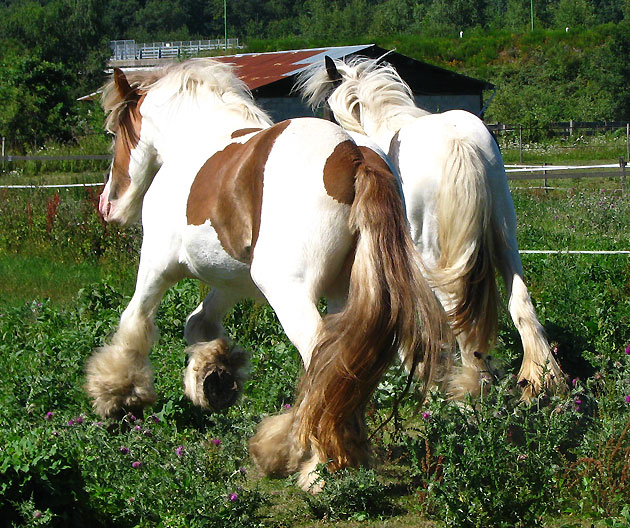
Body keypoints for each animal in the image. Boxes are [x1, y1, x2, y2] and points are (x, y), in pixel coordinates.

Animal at [86, 58, 450, 490]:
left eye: (113, 133)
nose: (107, 205)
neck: (194, 139)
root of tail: (355, 156)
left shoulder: (158, 264)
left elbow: (134, 321)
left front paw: (116, 393)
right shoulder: (232, 280)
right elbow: (199, 323)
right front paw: (213, 379)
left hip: (289, 293)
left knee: (322, 362)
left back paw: (316, 465)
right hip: (345, 295)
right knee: (341, 368)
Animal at [298, 55, 564, 398]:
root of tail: (458, 143)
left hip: (433, 255)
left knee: (456, 310)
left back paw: (471, 388)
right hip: (505, 237)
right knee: (520, 300)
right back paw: (539, 379)